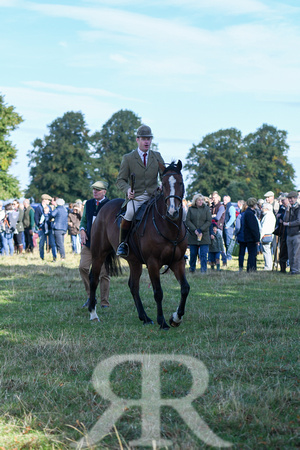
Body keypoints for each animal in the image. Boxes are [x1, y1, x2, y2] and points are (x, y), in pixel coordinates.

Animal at [88, 160, 190, 328]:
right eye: (164, 184)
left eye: (181, 183)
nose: (172, 212)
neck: (168, 226)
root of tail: (104, 206)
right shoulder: (153, 263)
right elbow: (158, 292)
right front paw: (162, 322)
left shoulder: (178, 261)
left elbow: (185, 288)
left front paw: (176, 318)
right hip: (98, 254)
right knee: (93, 279)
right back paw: (93, 314)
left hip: (134, 261)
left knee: (133, 286)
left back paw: (145, 317)